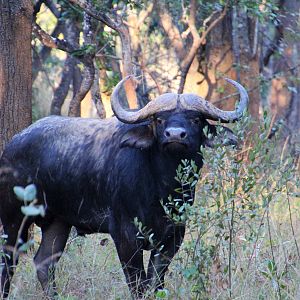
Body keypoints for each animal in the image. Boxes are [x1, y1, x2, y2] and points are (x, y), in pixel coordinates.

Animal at [0, 75, 248, 298]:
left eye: (196, 119)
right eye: (159, 119)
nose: (175, 135)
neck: (161, 188)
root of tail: (12, 145)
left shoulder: (173, 236)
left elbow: (155, 282)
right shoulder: (125, 235)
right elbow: (137, 284)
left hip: (58, 222)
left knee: (44, 263)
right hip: (14, 220)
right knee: (8, 261)